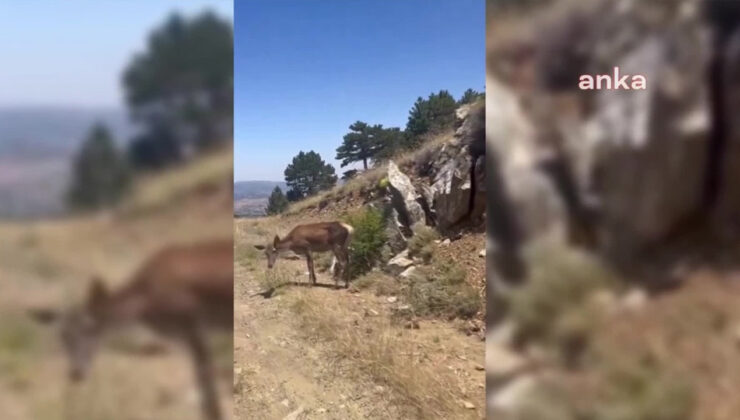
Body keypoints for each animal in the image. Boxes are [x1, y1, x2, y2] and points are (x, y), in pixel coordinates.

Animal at [30, 240, 233, 420]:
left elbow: (209, 395)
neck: (144, 300)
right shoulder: (192, 336)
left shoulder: (192, 330)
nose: (76, 373)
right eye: (62, 335)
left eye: (90, 328)